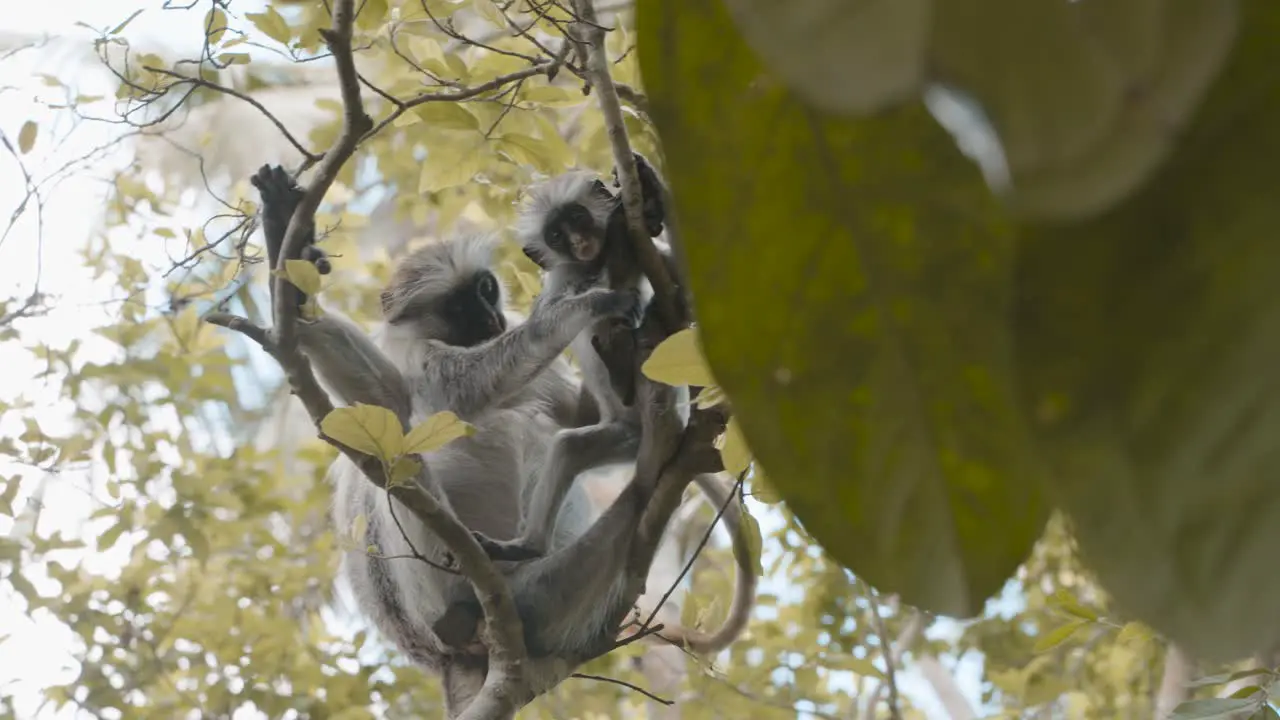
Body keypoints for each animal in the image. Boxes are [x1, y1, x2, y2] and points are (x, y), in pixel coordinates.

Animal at [248, 163, 742, 717]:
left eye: (486, 290)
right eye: (461, 306)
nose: (491, 319)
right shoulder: (415, 351)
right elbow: (436, 396)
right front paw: (593, 302)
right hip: (448, 588)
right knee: (401, 463)